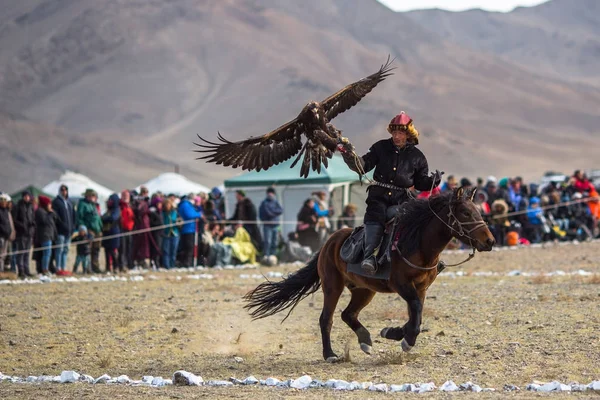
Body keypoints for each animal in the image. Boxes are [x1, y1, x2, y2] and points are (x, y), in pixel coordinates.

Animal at [241, 188, 494, 362]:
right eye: (465, 212)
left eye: (478, 210)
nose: (490, 241)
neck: (417, 243)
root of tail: (328, 243)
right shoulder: (402, 285)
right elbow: (415, 312)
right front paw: (406, 341)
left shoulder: (421, 288)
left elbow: (417, 315)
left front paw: (393, 332)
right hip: (332, 287)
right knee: (327, 319)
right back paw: (330, 354)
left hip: (364, 290)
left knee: (348, 314)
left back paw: (365, 340)